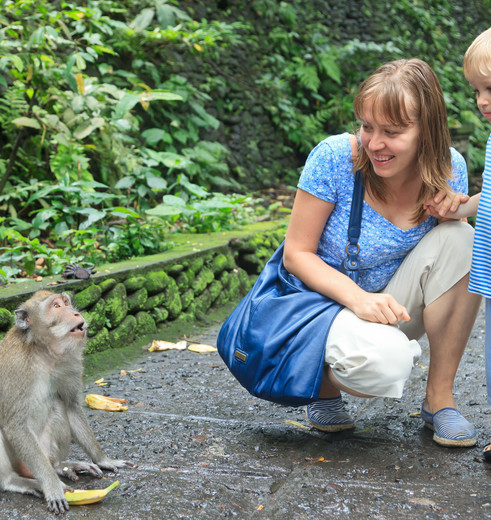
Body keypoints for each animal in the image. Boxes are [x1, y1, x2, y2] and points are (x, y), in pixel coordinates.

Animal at [0, 290, 134, 512]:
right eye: (56, 307)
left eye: (66, 303)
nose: (75, 313)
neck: (42, 351)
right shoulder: (16, 367)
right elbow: (15, 425)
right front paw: (52, 486)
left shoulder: (69, 361)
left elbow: (71, 406)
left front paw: (104, 459)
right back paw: (19, 480)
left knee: (58, 404)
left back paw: (60, 466)